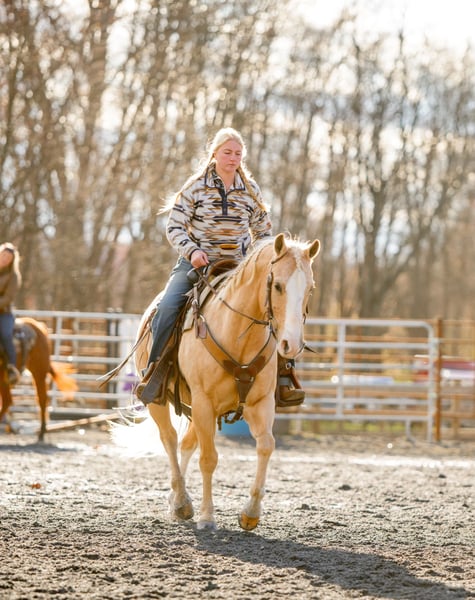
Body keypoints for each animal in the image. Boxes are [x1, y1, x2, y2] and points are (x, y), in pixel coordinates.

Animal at [132, 233, 320, 530]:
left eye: (310, 289)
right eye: (278, 285)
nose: (291, 345)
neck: (238, 335)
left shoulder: (260, 403)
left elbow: (266, 446)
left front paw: (250, 513)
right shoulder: (204, 403)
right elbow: (209, 459)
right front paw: (208, 517)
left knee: (186, 444)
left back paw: (178, 502)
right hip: (159, 402)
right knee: (170, 439)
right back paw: (182, 500)